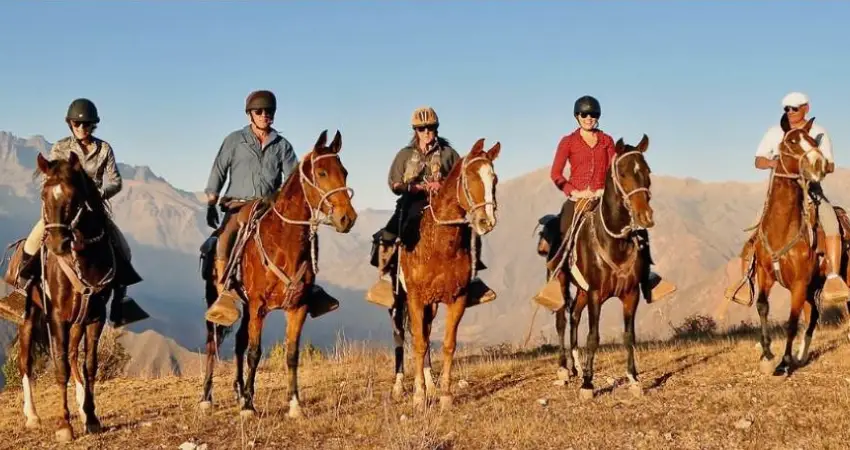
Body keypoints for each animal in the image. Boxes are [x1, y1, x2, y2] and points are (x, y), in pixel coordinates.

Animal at [11, 152, 121, 442]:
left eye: (74, 197)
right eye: (43, 195)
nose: (57, 244)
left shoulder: (95, 316)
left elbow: (89, 365)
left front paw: (91, 417)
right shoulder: (57, 316)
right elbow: (60, 367)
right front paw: (63, 425)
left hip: (78, 320)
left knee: (73, 356)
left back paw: (81, 408)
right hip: (30, 316)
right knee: (26, 361)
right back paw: (32, 416)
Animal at [197, 130, 356, 418]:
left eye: (344, 172)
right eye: (322, 172)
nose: (347, 218)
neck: (284, 243)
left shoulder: (297, 307)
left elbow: (291, 353)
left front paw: (294, 403)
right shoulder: (259, 306)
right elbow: (255, 352)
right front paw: (249, 406)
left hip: (246, 306)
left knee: (238, 342)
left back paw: (239, 391)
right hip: (218, 299)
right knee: (213, 343)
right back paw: (207, 398)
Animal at [390, 138, 500, 412]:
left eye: (494, 179)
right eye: (469, 177)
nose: (487, 221)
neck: (439, 245)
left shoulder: (457, 298)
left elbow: (448, 344)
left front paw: (445, 395)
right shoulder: (415, 299)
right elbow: (418, 344)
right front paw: (418, 397)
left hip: (432, 305)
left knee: (427, 333)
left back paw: (431, 384)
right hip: (399, 302)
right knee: (401, 337)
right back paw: (399, 387)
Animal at [532, 135, 652, 400]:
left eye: (648, 172)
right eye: (623, 174)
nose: (646, 216)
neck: (616, 241)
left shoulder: (631, 294)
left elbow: (629, 336)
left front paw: (634, 379)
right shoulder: (597, 294)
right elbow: (593, 336)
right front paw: (588, 384)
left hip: (582, 291)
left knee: (574, 316)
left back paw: (576, 367)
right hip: (561, 280)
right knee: (562, 320)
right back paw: (564, 370)